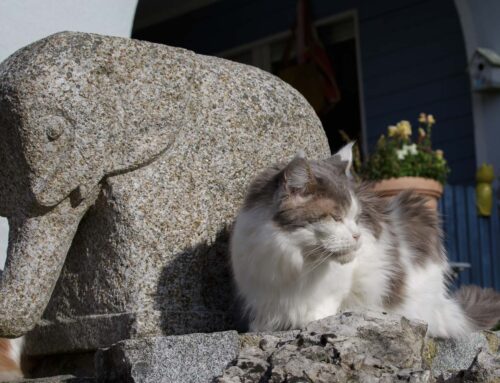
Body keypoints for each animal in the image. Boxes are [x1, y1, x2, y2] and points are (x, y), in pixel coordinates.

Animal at [230, 145, 500, 340]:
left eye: (356, 217)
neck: (294, 260)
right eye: (336, 217)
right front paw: (262, 326)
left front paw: (314, 320)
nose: (357, 235)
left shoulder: (348, 278)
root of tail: (442, 300)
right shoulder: (259, 283)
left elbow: (326, 300)